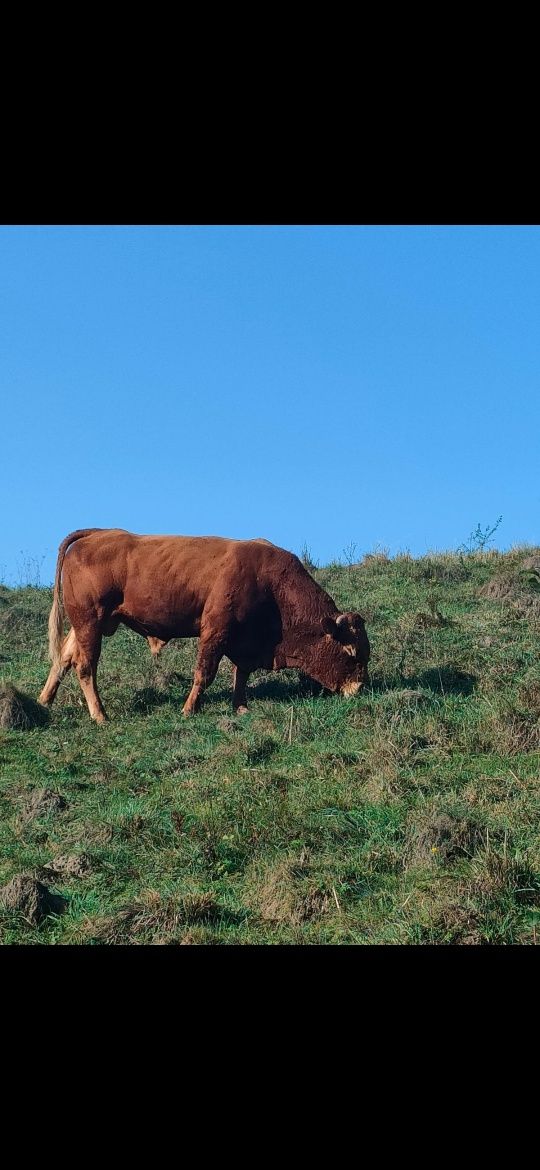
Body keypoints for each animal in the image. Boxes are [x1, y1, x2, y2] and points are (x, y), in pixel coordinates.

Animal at [39, 531, 371, 720]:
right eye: (353, 654)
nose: (361, 688)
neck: (268, 581)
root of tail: (95, 535)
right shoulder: (215, 631)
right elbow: (204, 673)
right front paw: (189, 709)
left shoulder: (242, 641)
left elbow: (241, 674)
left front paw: (240, 707)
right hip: (90, 623)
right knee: (85, 667)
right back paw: (100, 715)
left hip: (88, 625)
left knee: (63, 659)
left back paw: (44, 702)